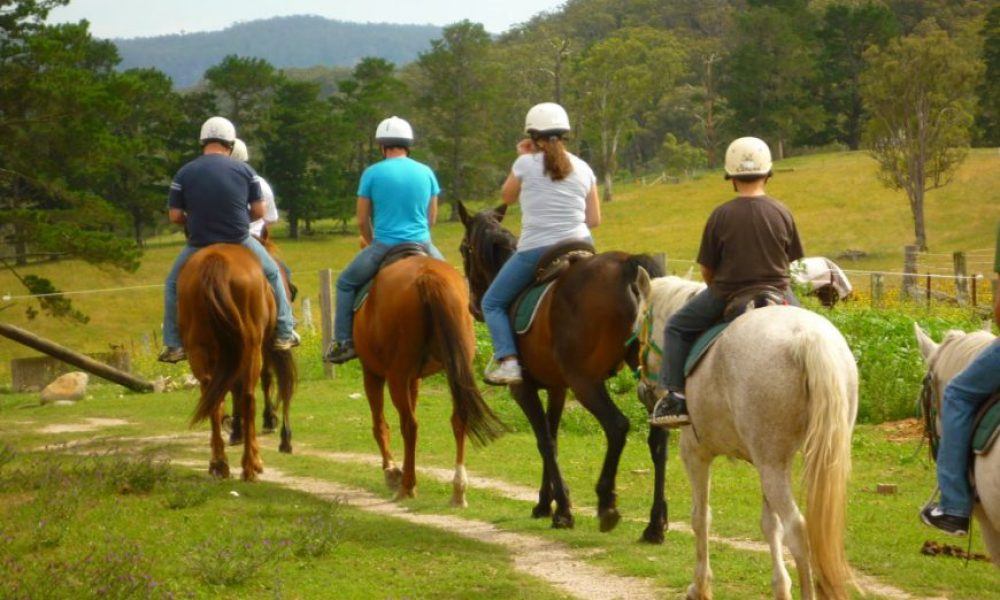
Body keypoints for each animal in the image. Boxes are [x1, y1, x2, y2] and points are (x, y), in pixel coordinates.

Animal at [178, 241, 294, 480]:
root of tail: (215, 262)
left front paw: (236, 432)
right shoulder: (269, 347)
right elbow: (275, 382)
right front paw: (279, 432)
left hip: (200, 351)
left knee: (213, 399)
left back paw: (219, 463)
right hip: (251, 348)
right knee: (249, 397)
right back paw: (251, 465)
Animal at [354, 254, 508, 506]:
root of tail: (428, 277)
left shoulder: (373, 373)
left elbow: (380, 424)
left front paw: (392, 471)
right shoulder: (414, 379)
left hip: (396, 375)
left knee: (409, 425)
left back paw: (406, 487)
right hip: (456, 368)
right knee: (459, 418)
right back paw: (458, 490)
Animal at [458, 202, 668, 540]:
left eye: (464, 248)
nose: (474, 307)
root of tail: (627, 266)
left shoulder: (523, 388)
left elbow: (544, 440)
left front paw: (564, 510)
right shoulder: (557, 387)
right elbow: (553, 438)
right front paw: (547, 504)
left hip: (585, 382)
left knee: (617, 426)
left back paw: (607, 503)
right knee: (658, 438)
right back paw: (655, 524)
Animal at [640, 278, 860, 600]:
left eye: (640, 324)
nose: (643, 391)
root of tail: (806, 338)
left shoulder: (695, 453)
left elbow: (700, 517)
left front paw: (700, 586)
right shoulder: (766, 461)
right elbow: (770, 525)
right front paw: (781, 587)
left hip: (770, 466)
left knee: (797, 529)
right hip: (797, 461)